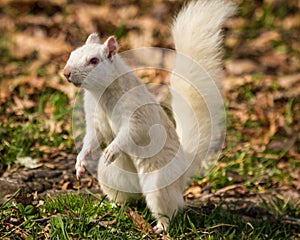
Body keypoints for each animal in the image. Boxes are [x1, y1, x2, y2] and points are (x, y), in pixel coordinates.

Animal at [63, 0, 236, 232]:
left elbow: (131, 132)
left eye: (93, 60)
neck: (101, 93)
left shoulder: (136, 111)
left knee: (168, 210)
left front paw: (112, 150)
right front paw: (80, 162)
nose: (66, 73)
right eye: (72, 54)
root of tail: (183, 169)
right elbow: (92, 136)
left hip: (158, 183)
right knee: (126, 197)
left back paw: (160, 228)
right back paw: (114, 207)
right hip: (110, 176)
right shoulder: (94, 116)